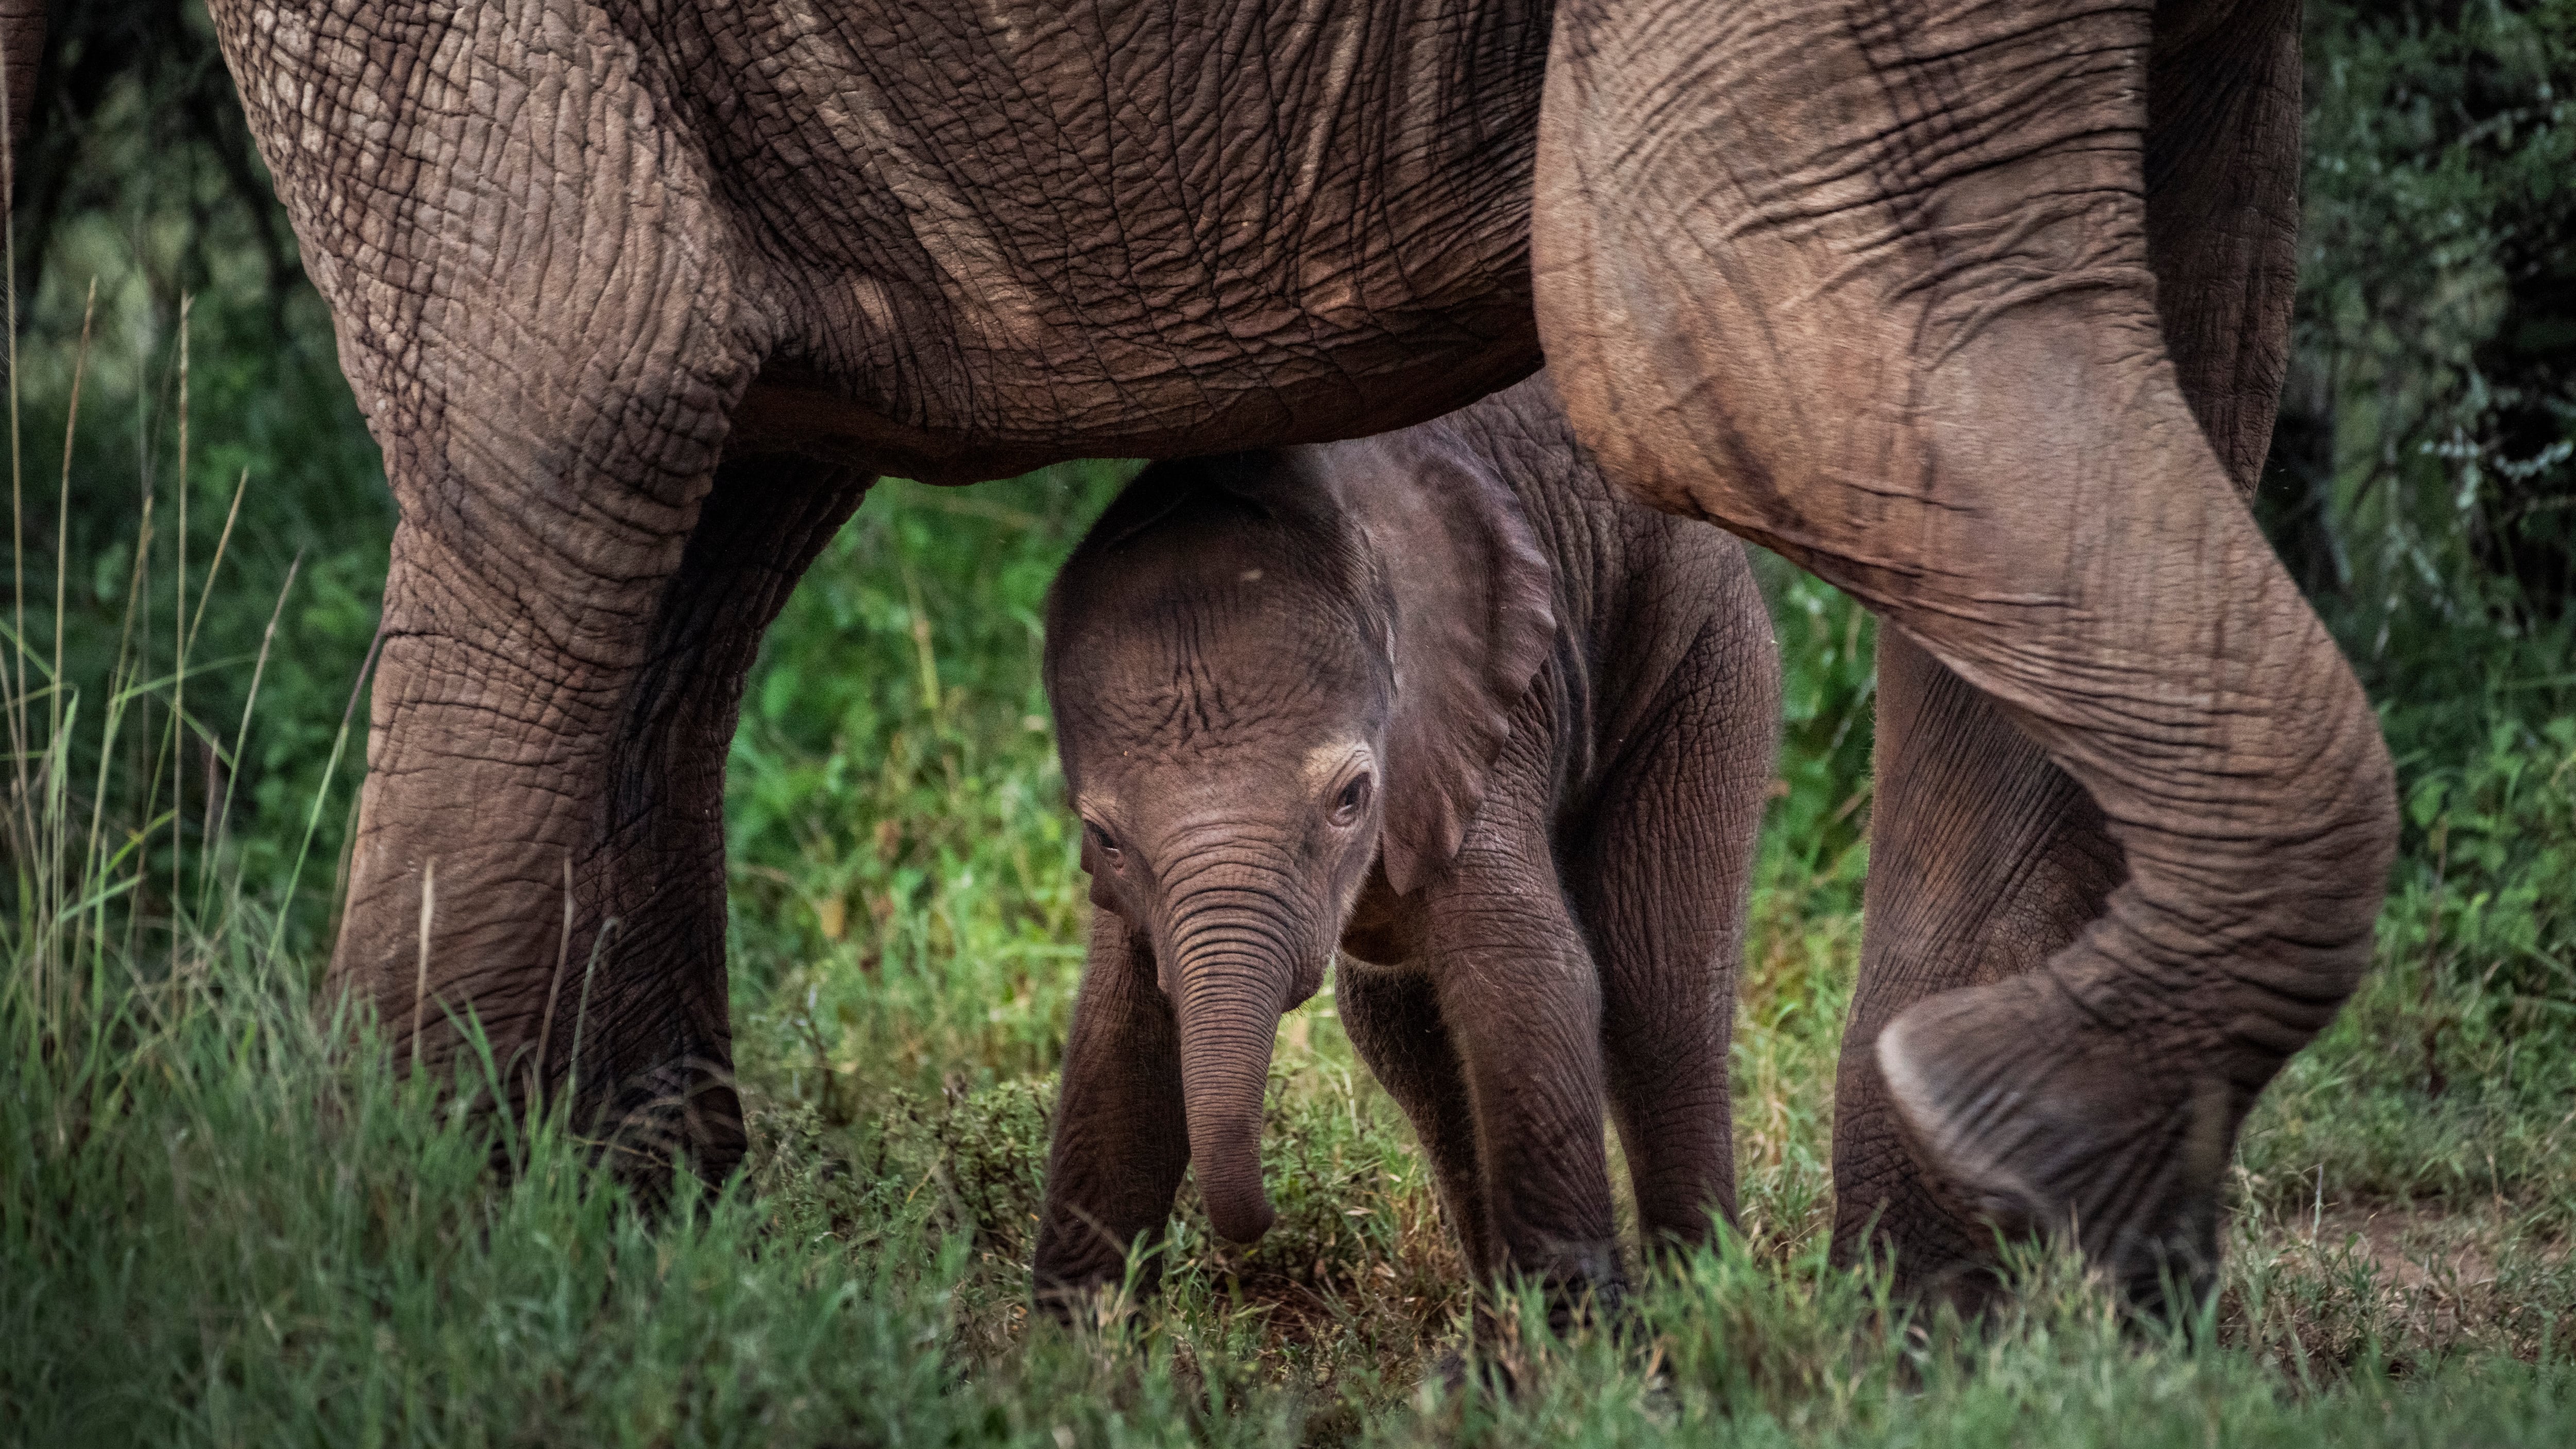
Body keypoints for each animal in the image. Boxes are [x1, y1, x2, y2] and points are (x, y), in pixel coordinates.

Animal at [1030, 373, 1777, 1312]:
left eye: (1352, 798)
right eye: (1102, 836)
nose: (1265, 1221)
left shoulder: (1482, 712)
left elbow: (1532, 981)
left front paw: (1578, 1334)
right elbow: (1118, 1039)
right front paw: (1071, 1340)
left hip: (1708, 650)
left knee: (1659, 987)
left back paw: (1702, 1307)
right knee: (1399, 1029)